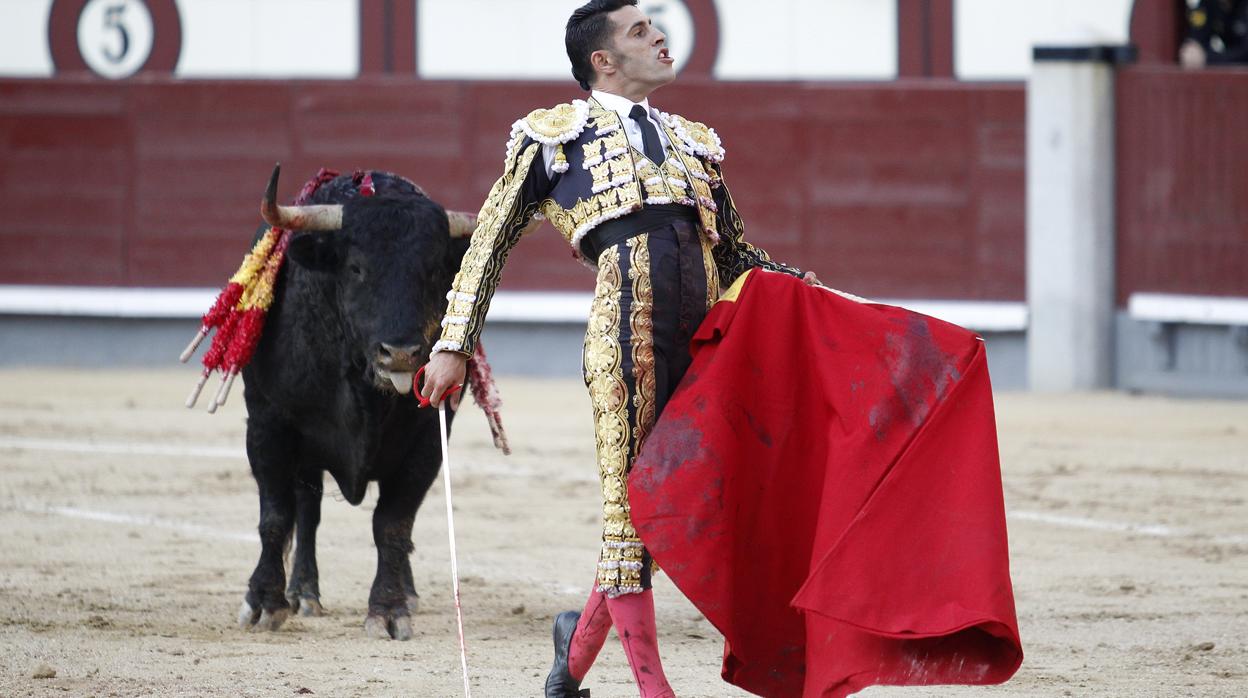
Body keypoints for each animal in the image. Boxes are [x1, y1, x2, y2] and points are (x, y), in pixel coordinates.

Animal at [235, 169, 469, 639]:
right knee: (307, 511)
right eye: (357, 268)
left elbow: (393, 524)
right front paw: (264, 601)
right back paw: (302, 593)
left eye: (435, 270)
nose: (401, 353)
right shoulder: (267, 423)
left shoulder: (429, 441)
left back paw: (407, 593)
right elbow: (276, 515)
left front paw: (390, 609)